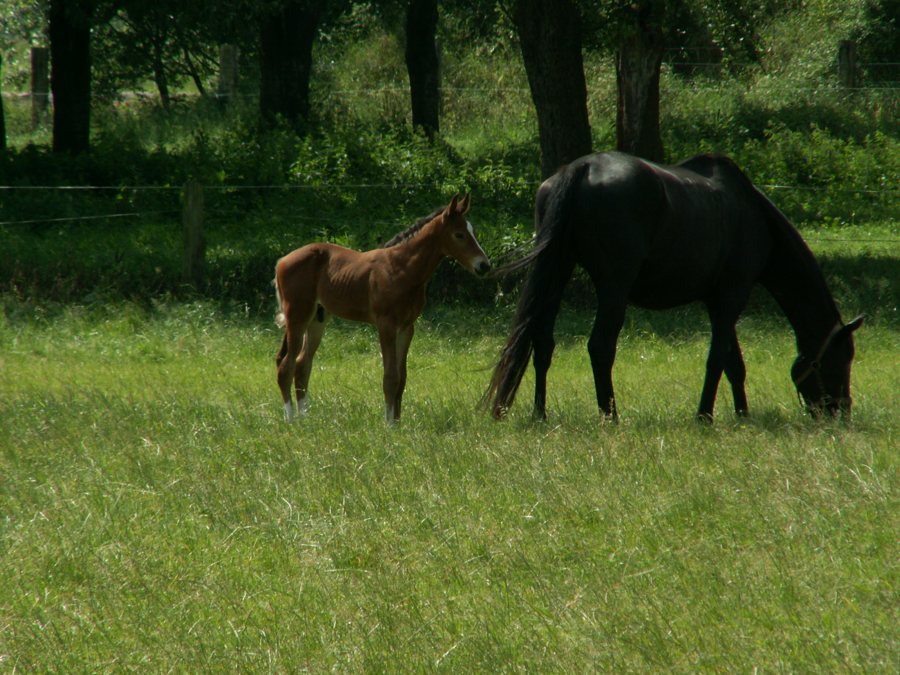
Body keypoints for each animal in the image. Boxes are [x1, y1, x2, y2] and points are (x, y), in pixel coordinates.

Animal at [274, 193, 491, 424]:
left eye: (472, 231)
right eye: (459, 234)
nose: (484, 265)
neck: (401, 269)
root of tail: (282, 261)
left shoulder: (406, 328)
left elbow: (402, 378)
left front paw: (397, 422)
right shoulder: (386, 325)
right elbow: (390, 377)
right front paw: (388, 424)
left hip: (317, 319)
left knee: (302, 365)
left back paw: (305, 418)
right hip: (297, 317)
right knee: (286, 366)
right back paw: (291, 419)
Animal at [485, 151, 863, 422]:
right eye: (841, 358)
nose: (840, 412)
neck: (754, 216)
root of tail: (581, 168)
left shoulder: (716, 301)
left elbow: (734, 363)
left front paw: (742, 414)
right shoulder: (733, 295)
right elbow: (718, 358)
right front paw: (705, 415)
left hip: (557, 274)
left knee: (542, 343)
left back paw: (540, 414)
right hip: (614, 287)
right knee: (600, 346)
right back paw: (611, 415)